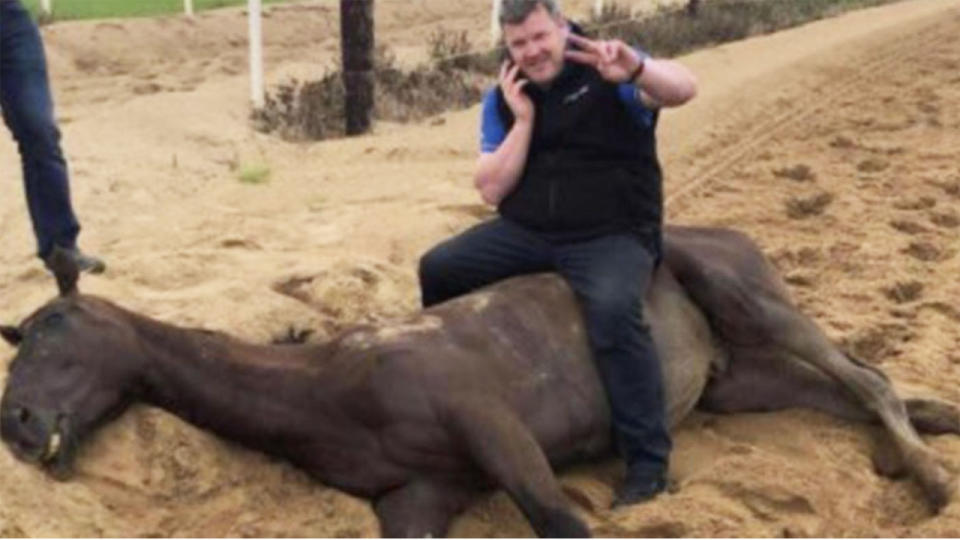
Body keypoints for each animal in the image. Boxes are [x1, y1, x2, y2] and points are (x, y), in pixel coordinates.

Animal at [1, 225, 960, 536]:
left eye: (52, 334)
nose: (17, 422)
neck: (329, 387)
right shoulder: (420, 497)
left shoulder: (497, 430)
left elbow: (559, 521)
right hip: (736, 379)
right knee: (862, 390)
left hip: (749, 298)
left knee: (868, 379)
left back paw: (933, 482)